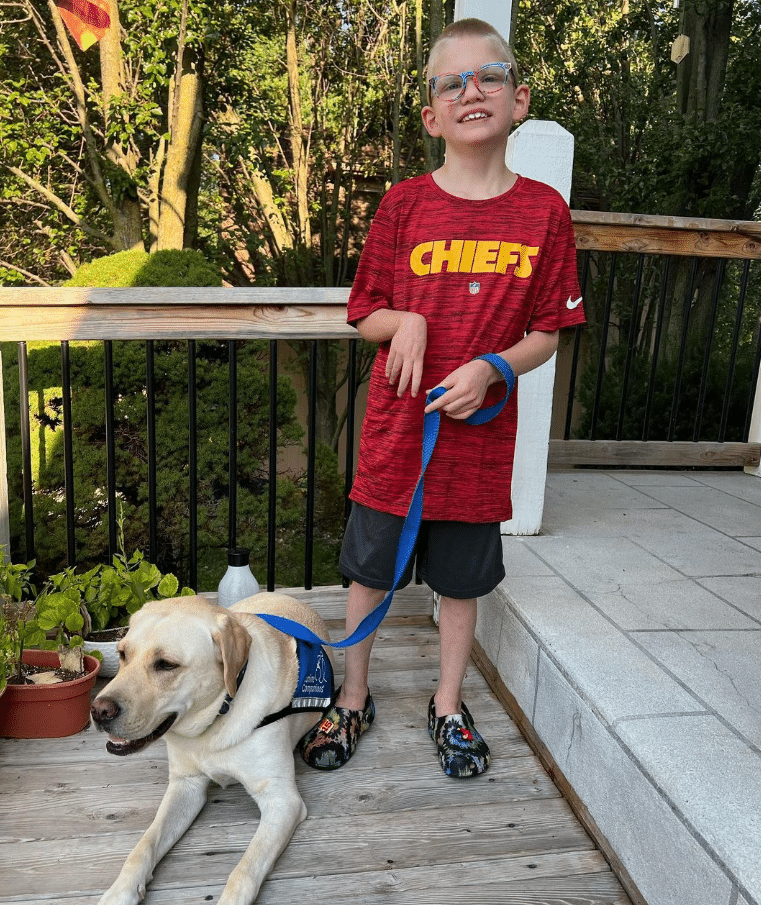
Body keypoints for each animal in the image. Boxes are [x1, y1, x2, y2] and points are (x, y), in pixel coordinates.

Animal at [90, 592, 334, 904]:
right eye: (122, 654)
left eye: (166, 664)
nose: (99, 711)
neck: (218, 717)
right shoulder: (186, 785)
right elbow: (144, 844)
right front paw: (121, 891)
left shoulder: (282, 800)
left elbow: (244, 870)